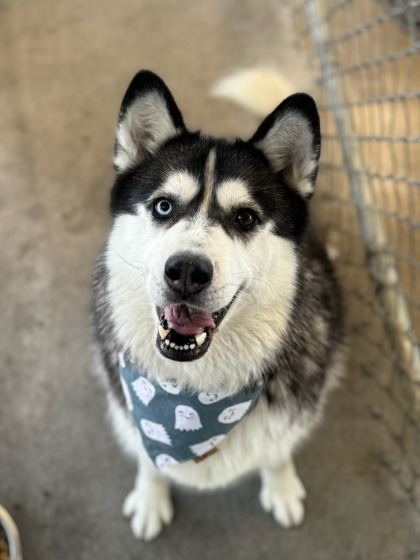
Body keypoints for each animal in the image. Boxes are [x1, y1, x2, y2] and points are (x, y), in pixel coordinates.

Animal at [92, 69, 344, 540]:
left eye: (245, 217)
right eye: (163, 206)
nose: (187, 271)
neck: (192, 390)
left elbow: (277, 452)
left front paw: (281, 486)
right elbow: (148, 458)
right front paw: (150, 495)